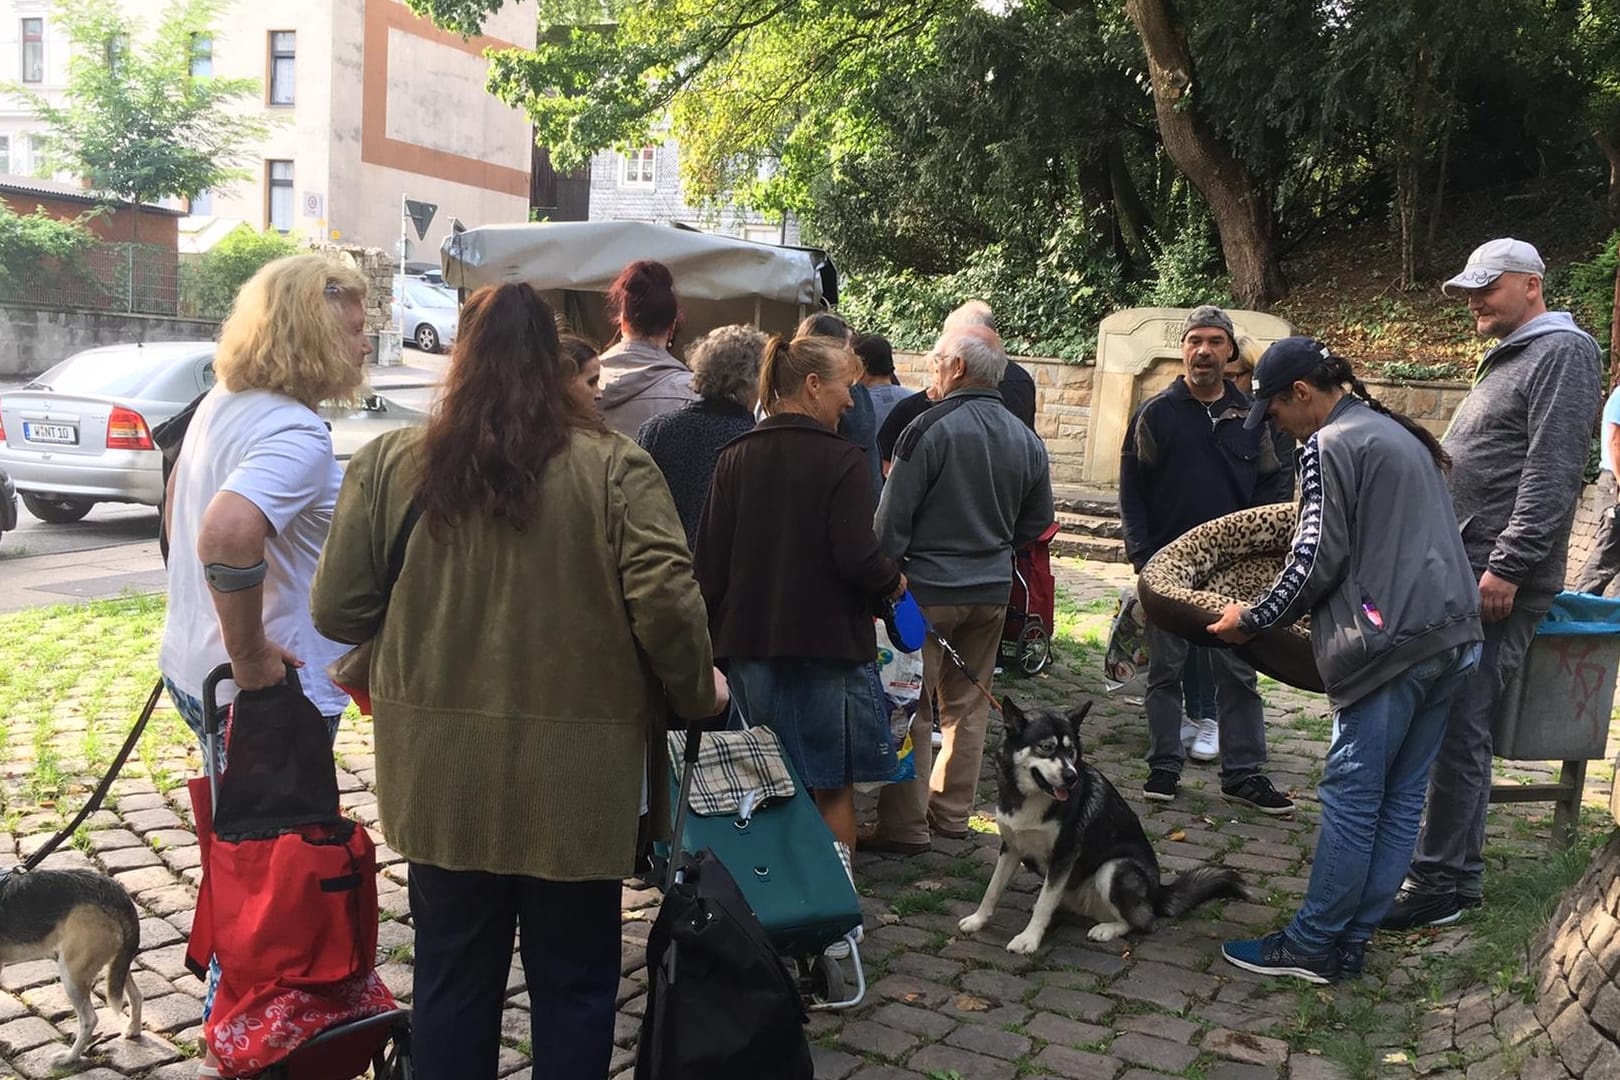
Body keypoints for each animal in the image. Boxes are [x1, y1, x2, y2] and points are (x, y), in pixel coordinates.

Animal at [0, 867, 143, 1062]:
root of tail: (120, 896)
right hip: (116, 965)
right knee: (136, 995)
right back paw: (133, 1029)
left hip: (72, 971)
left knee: (90, 1019)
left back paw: (69, 1058)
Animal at [952, 702, 1257, 952]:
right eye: (1046, 747)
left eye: (1071, 750)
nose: (1071, 777)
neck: (1032, 798)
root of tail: (1158, 892)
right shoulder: (1011, 847)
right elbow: (993, 890)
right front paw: (978, 920)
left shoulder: (1064, 856)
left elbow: (1044, 904)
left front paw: (1029, 939)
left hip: (1115, 869)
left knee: (1143, 922)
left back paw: (1106, 929)